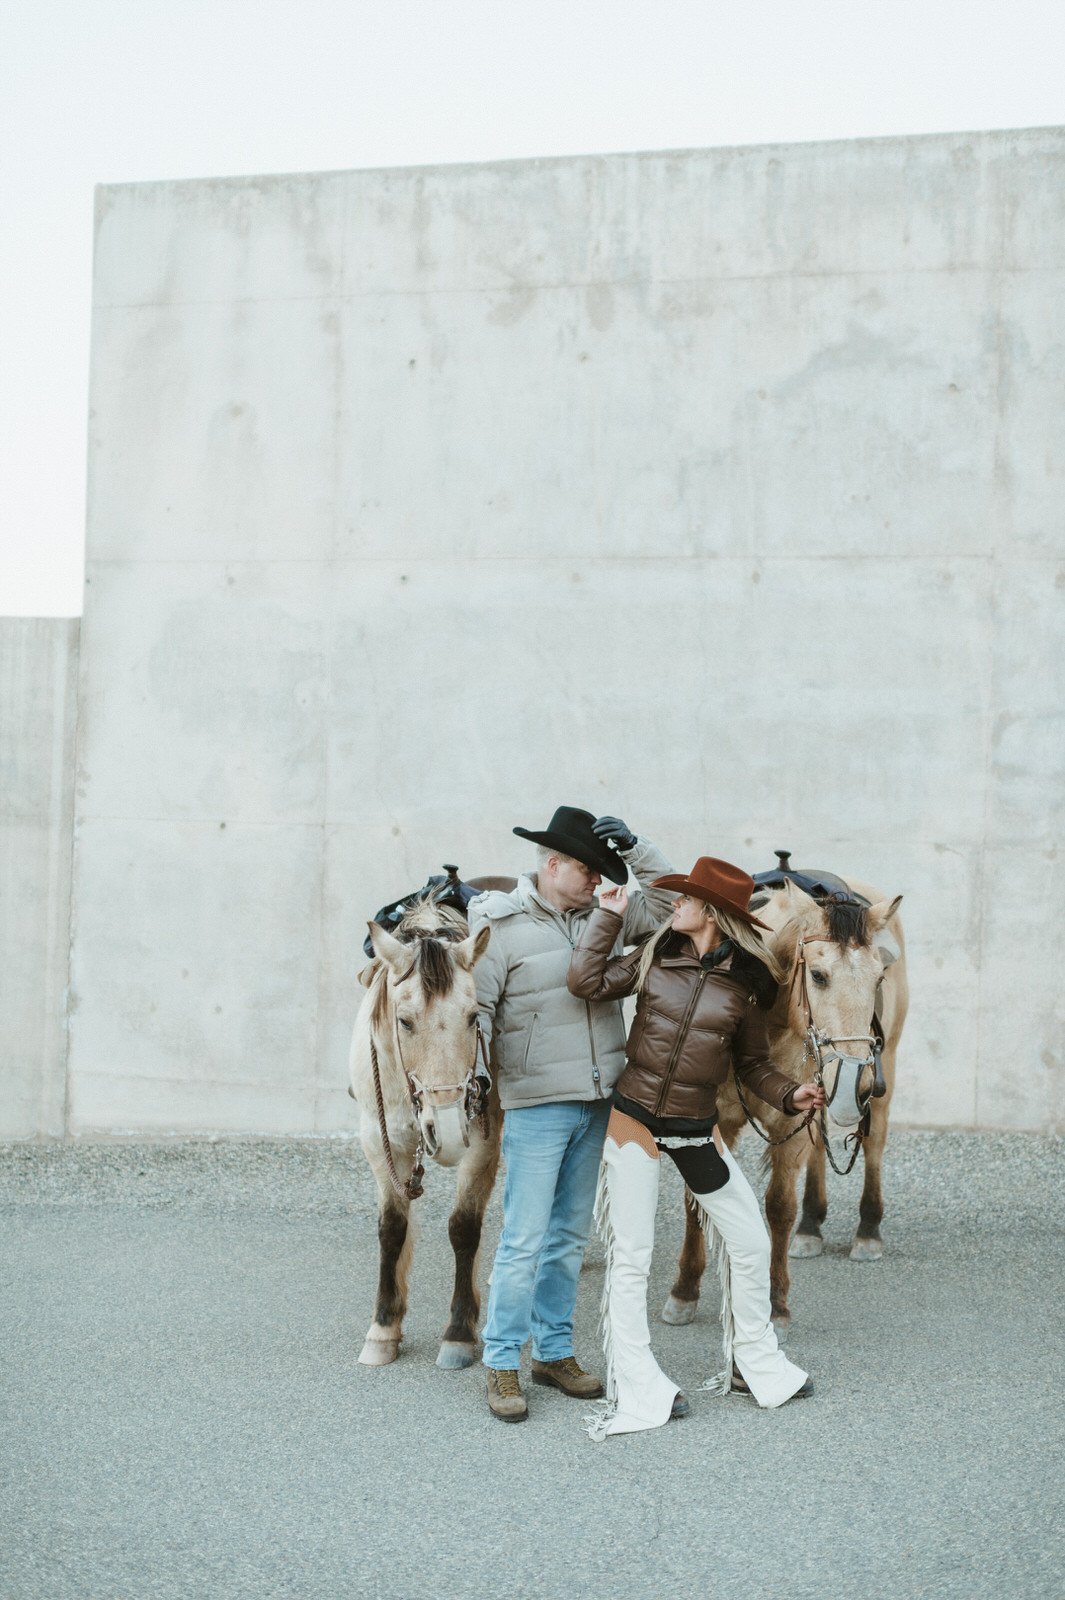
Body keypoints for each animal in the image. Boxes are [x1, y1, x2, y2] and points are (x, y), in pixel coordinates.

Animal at [348, 883, 511, 1369]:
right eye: (404, 1021)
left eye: (474, 1017)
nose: (449, 1129)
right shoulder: (380, 1142)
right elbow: (392, 1229)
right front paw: (384, 1328)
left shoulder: (483, 1145)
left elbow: (463, 1228)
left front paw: (459, 1331)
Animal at [665, 870, 901, 1331]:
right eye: (819, 976)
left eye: (878, 978)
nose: (857, 1082)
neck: (767, 1015)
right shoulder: (712, 1120)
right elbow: (698, 1200)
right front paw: (684, 1291)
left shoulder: (792, 1123)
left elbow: (779, 1207)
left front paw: (775, 1303)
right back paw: (811, 1225)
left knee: (874, 1144)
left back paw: (867, 1229)